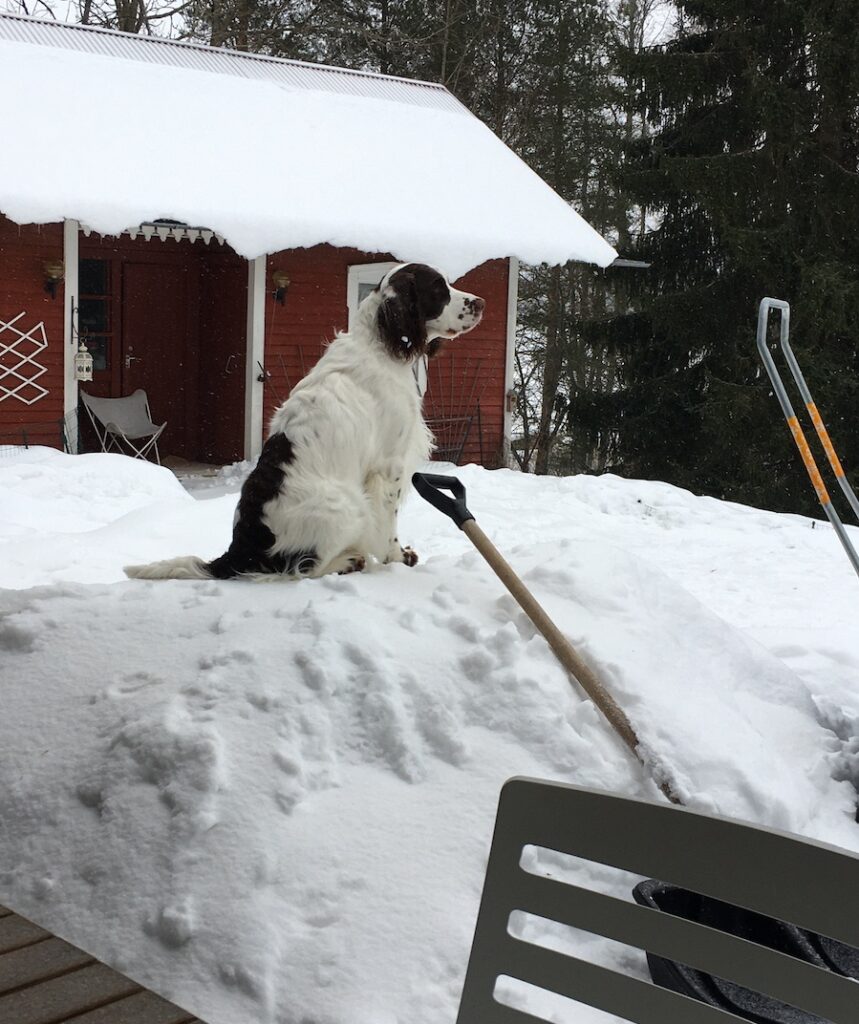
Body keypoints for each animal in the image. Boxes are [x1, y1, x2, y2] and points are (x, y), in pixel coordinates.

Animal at [124, 262, 483, 585]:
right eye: (438, 288)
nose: (480, 303)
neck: (379, 347)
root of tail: (240, 552)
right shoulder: (390, 463)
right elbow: (389, 520)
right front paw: (398, 557)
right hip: (347, 503)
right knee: (304, 567)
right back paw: (349, 561)